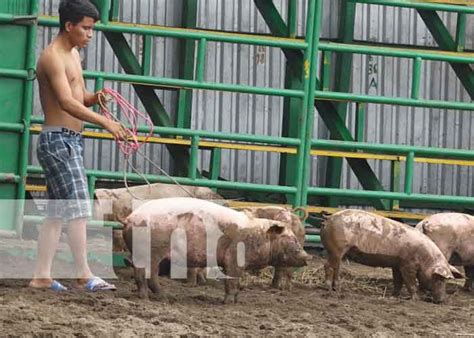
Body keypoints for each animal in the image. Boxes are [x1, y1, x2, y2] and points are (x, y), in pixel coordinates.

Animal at [123, 197, 312, 302]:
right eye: (291, 239)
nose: (308, 257)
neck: (257, 235)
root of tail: (130, 218)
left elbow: (237, 282)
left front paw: (236, 300)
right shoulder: (234, 259)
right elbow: (231, 282)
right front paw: (228, 302)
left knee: (143, 275)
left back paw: (157, 296)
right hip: (150, 251)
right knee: (147, 275)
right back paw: (156, 297)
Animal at [318, 210, 462, 302]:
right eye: (440, 279)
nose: (442, 300)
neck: (426, 258)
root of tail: (328, 219)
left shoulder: (397, 264)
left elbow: (398, 281)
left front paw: (394, 296)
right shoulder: (407, 265)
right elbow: (410, 282)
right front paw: (416, 299)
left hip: (338, 252)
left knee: (336, 268)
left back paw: (337, 289)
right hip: (336, 249)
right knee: (328, 266)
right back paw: (328, 288)